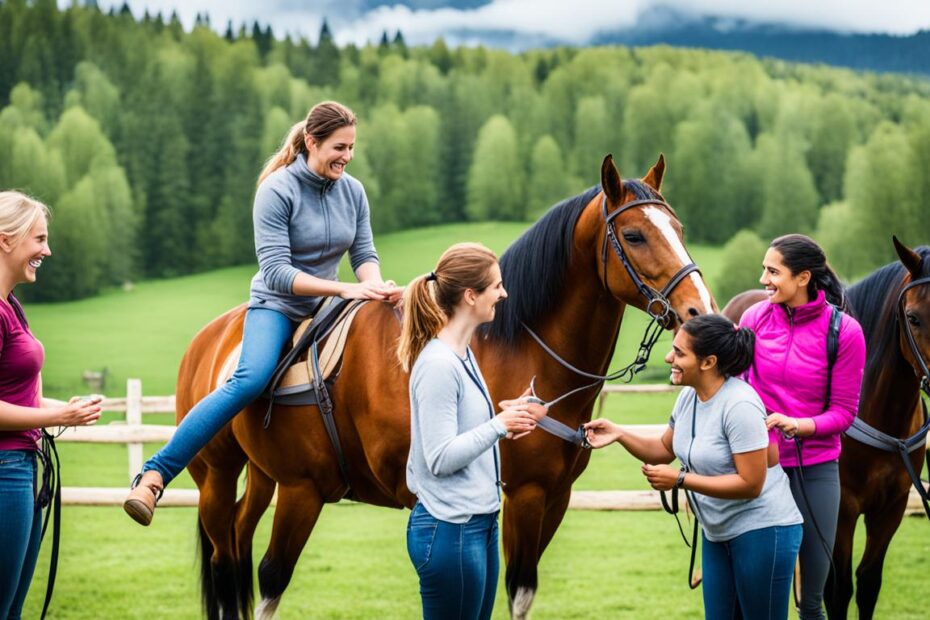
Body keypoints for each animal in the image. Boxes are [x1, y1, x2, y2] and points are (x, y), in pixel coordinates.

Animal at [178, 155, 716, 620]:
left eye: (680, 231)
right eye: (634, 234)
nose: (699, 310)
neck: (515, 348)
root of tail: (210, 338)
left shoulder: (554, 498)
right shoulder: (522, 496)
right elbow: (515, 591)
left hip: (264, 479)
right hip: (253, 485)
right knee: (239, 567)